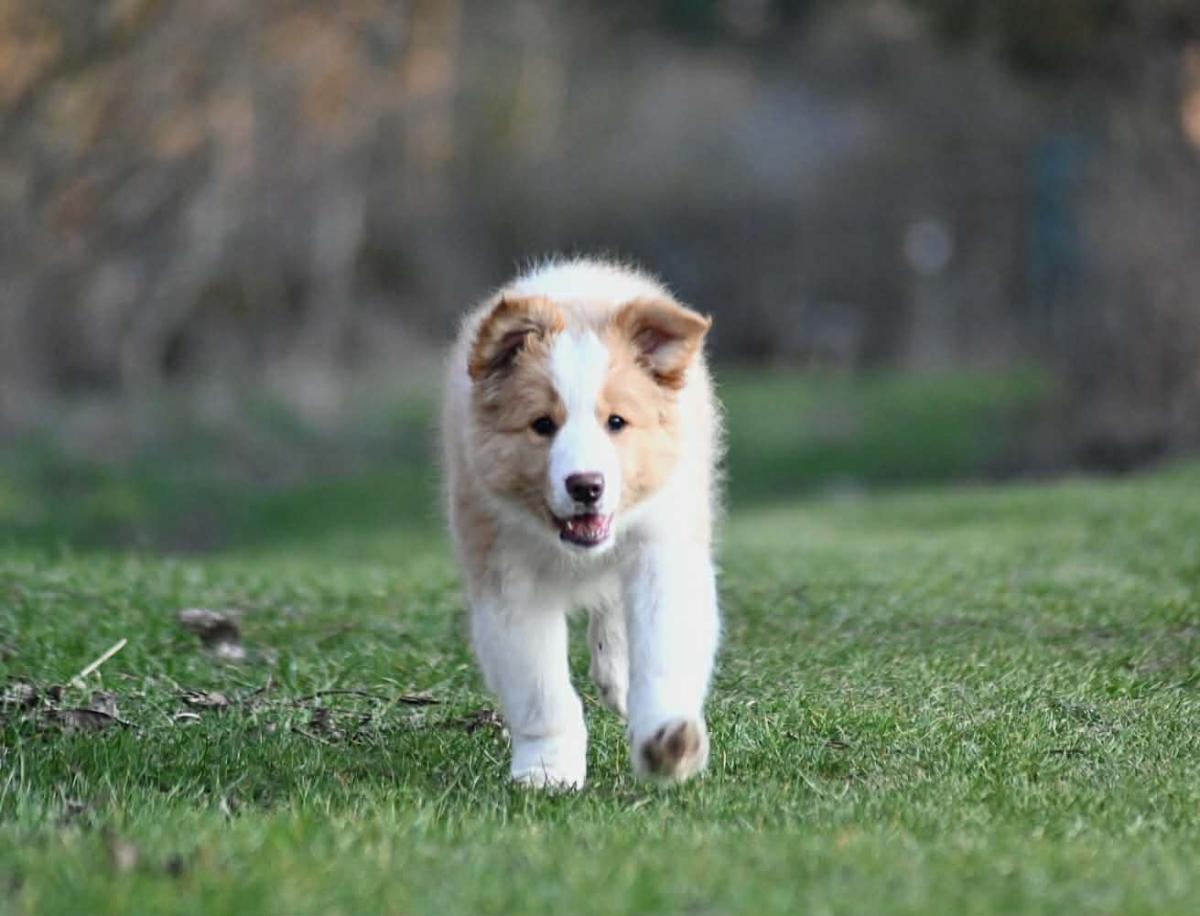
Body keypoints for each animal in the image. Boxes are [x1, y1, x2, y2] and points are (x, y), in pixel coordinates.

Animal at [441, 257, 721, 788]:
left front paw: (668, 741)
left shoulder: (663, 547)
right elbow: (540, 690)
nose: (586, 486)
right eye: (542, 425)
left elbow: (664, 650)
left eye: (616, 422)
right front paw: (547, 771)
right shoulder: (507, 574)